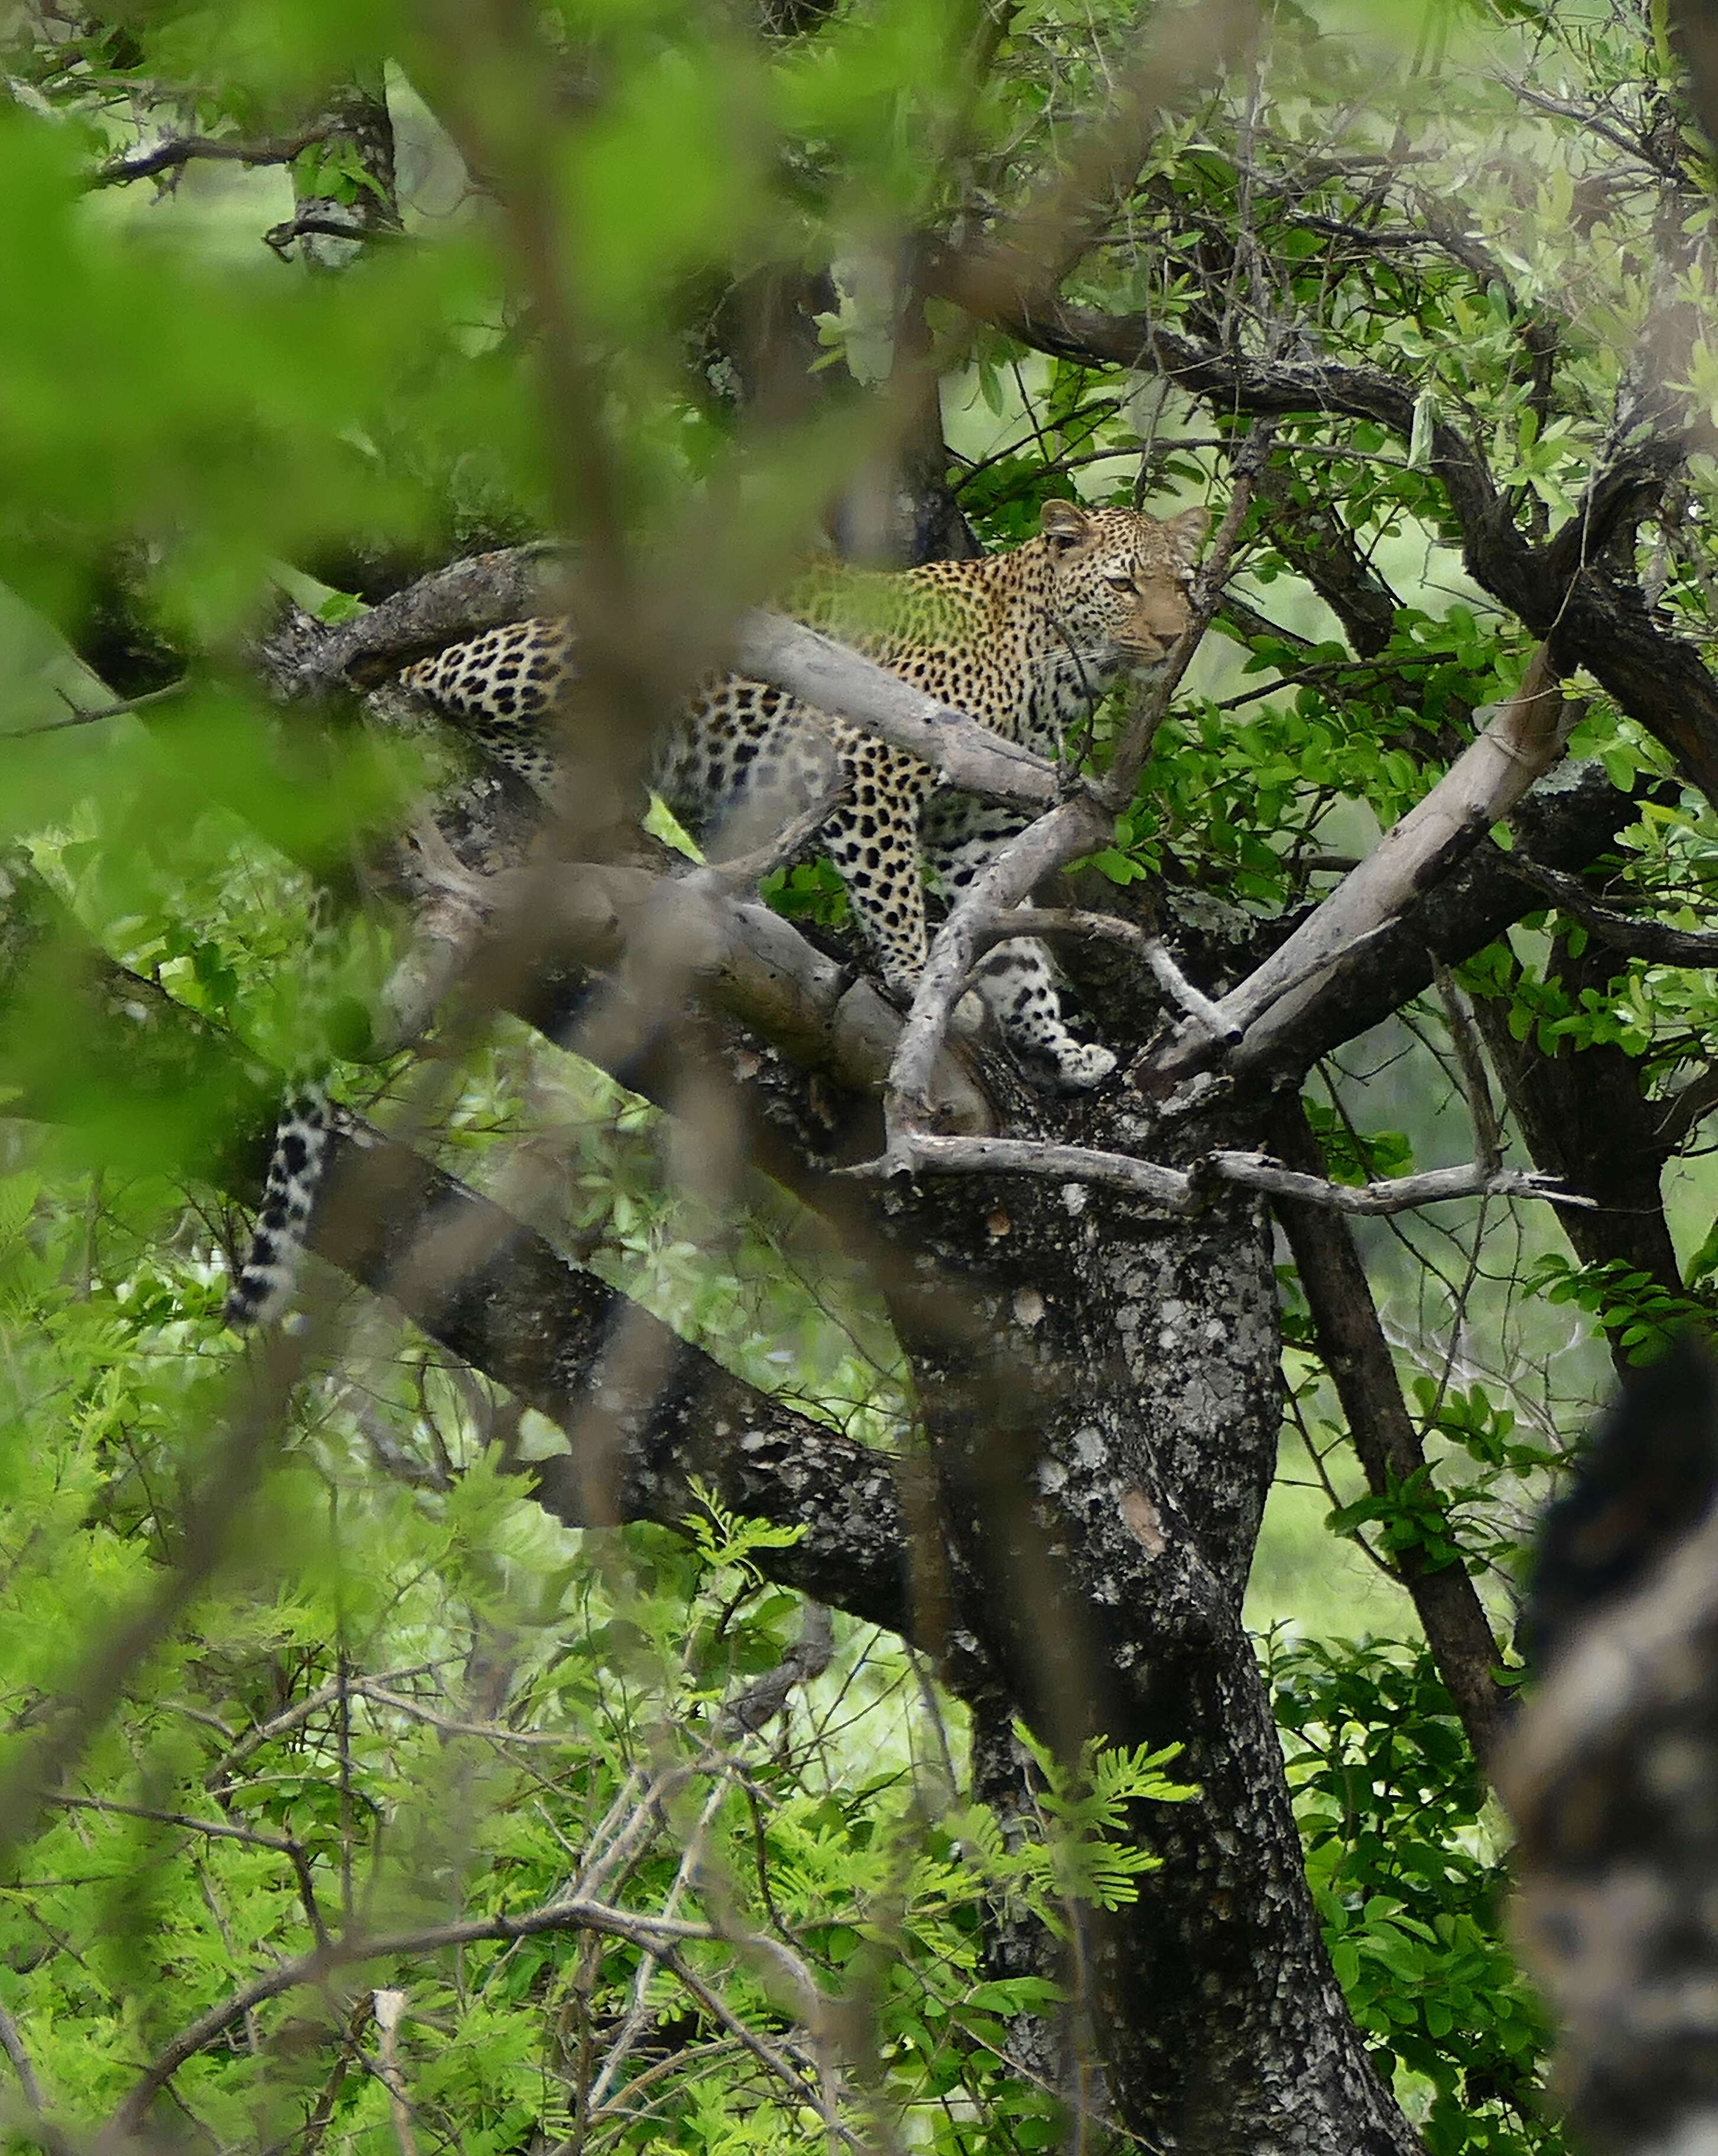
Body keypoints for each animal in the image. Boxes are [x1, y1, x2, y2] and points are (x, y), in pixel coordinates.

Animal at [224, 493, 1207, 1319]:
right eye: (1122, 584)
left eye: (1181, 584)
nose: (1167, 637)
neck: (1053, 668)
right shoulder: (867, 768)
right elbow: (892, 893)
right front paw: (906, 976)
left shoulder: (974, 843)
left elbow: (1015, 959)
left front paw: (1058, 1046)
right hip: (564, 640)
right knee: (433, 687)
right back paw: (568, 776)